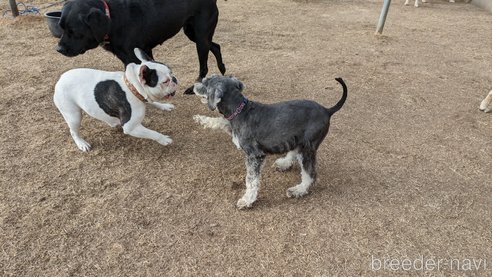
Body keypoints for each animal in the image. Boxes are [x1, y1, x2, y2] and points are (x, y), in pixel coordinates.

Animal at [56, 0, 226, 94]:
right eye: (61, 27)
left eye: (73, 31)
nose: (59, 49)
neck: (111, 18)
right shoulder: (141, 53)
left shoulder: (132, 57)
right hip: (193, 34)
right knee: (216, 46)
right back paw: (222, 69)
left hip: (200, 38)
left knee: (204, 66)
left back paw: (194, 87)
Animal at [191, 74, 346, 208]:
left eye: (206, 82)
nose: (193, 86)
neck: (240, 110)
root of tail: (327, 110)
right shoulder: (231, 126)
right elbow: (219, 121)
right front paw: (200, 119)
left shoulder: (255, 156)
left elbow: (251, 180)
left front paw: (247, 200)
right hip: (297, 140)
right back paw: (284, 164)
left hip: (307, 148)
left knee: (310, 174)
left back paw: (298, 190)